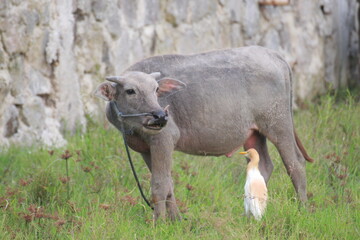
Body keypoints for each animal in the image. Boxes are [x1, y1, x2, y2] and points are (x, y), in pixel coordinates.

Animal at [94, 45, 314, 221]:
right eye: (131, 91)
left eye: (156, 89)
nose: (160, 116)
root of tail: (273, 54)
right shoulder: (146, 149)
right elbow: (169, 184)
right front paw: (176, 220)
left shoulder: (163, 140)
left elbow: (159, 185)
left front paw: (159, 222)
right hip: (254, 133)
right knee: (264, 165)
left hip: (278, 123)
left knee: (295, 163)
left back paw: (302, 207)